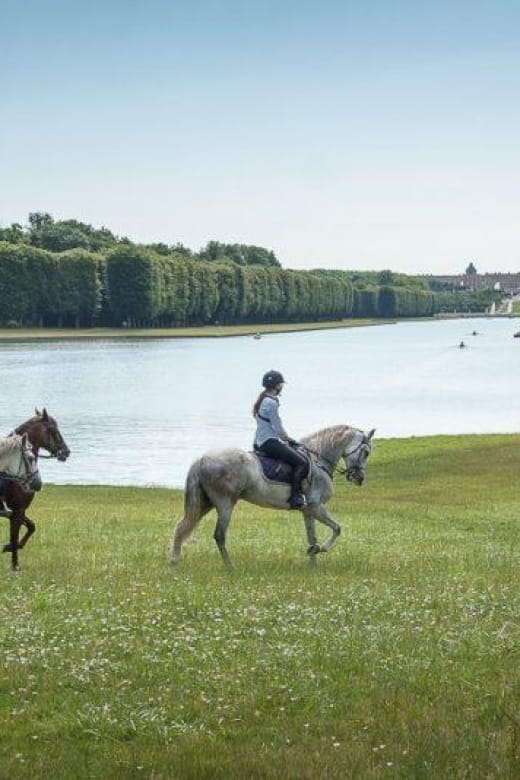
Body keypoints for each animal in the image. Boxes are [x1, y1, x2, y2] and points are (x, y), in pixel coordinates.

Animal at [1, 408, 70, 570]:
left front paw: (9, 547)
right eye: (54, 430)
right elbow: (15, 535)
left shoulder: (16, 512)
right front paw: (15, 565)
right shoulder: (18, 510)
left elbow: (31, 527)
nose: (66, 451)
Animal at [171, 425, 375, 568]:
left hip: (205, 503)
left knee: (181, 527)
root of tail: (201, 460)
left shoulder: (308, 510)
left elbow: (312, 536)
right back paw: (230, 567)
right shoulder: (316, 507)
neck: (319, 461)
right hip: (225, 504)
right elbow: (337, 529)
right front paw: (319, 550)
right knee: (219, 535)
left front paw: (313, 562)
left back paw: (174, 563)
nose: (359, 478)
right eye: (366, 452)